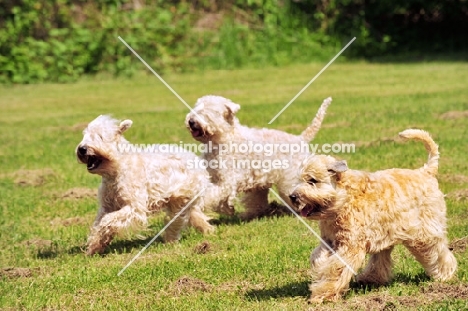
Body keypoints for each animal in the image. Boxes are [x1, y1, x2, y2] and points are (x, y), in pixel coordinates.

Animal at [77, 115, 216, 256]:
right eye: (85, 135)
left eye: (100, 136)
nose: (82, 149)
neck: (117, 169)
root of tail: (197, 161)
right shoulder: (106, 206)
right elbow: (98, 224)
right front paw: (94, 247)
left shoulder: (134, 207)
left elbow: (107, 220)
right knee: (194, 215)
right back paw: (207, 230)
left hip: (181, 200)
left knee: (176, 222)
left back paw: (171, 241)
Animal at [185, 96, 330, 221]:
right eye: (197, 106)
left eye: (210, 110)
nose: (191, 121)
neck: (223, 139)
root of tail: (301, 138)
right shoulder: (215, 177)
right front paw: (226, 209)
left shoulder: (226, 181)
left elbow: (211, 195)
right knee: (258, 202)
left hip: (290, 179)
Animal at [288, 129, 458, 304]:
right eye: (300, 179)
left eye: (312, 180)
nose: (292, 196)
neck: (343, 200)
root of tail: (426, 171)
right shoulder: (329, 241)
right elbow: (318, 258)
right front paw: (320, 271)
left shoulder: (350, 246)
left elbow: (336, 269)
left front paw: (323, 294)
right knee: (380, 259)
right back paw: (370, 279)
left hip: (424, 234)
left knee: (437, 252)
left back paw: (444, 274)